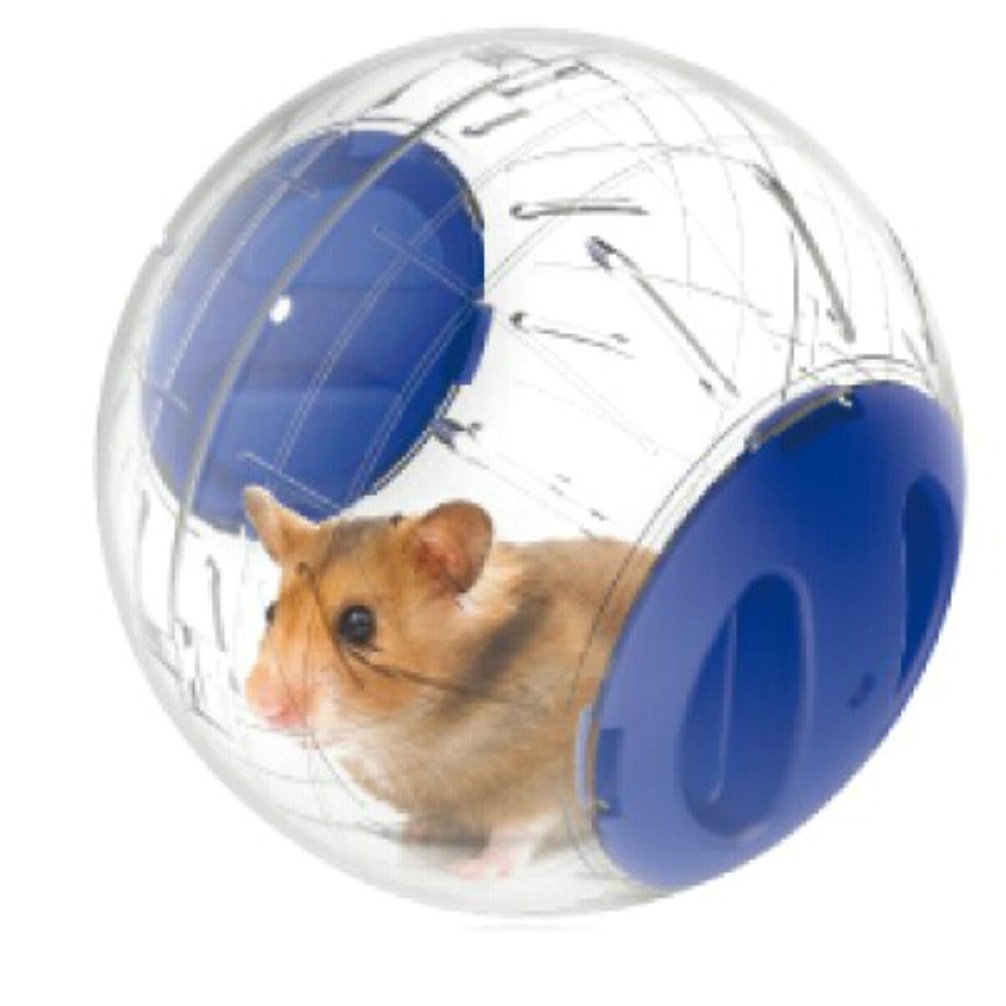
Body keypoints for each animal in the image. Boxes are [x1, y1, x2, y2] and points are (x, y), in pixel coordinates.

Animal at [243, 486, 652, 878]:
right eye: (270, 612)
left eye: (359, 624)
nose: (262, 707)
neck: (412, 732)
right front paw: (413, 832)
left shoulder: (551, 778)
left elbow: (520, 830)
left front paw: (471, 871)